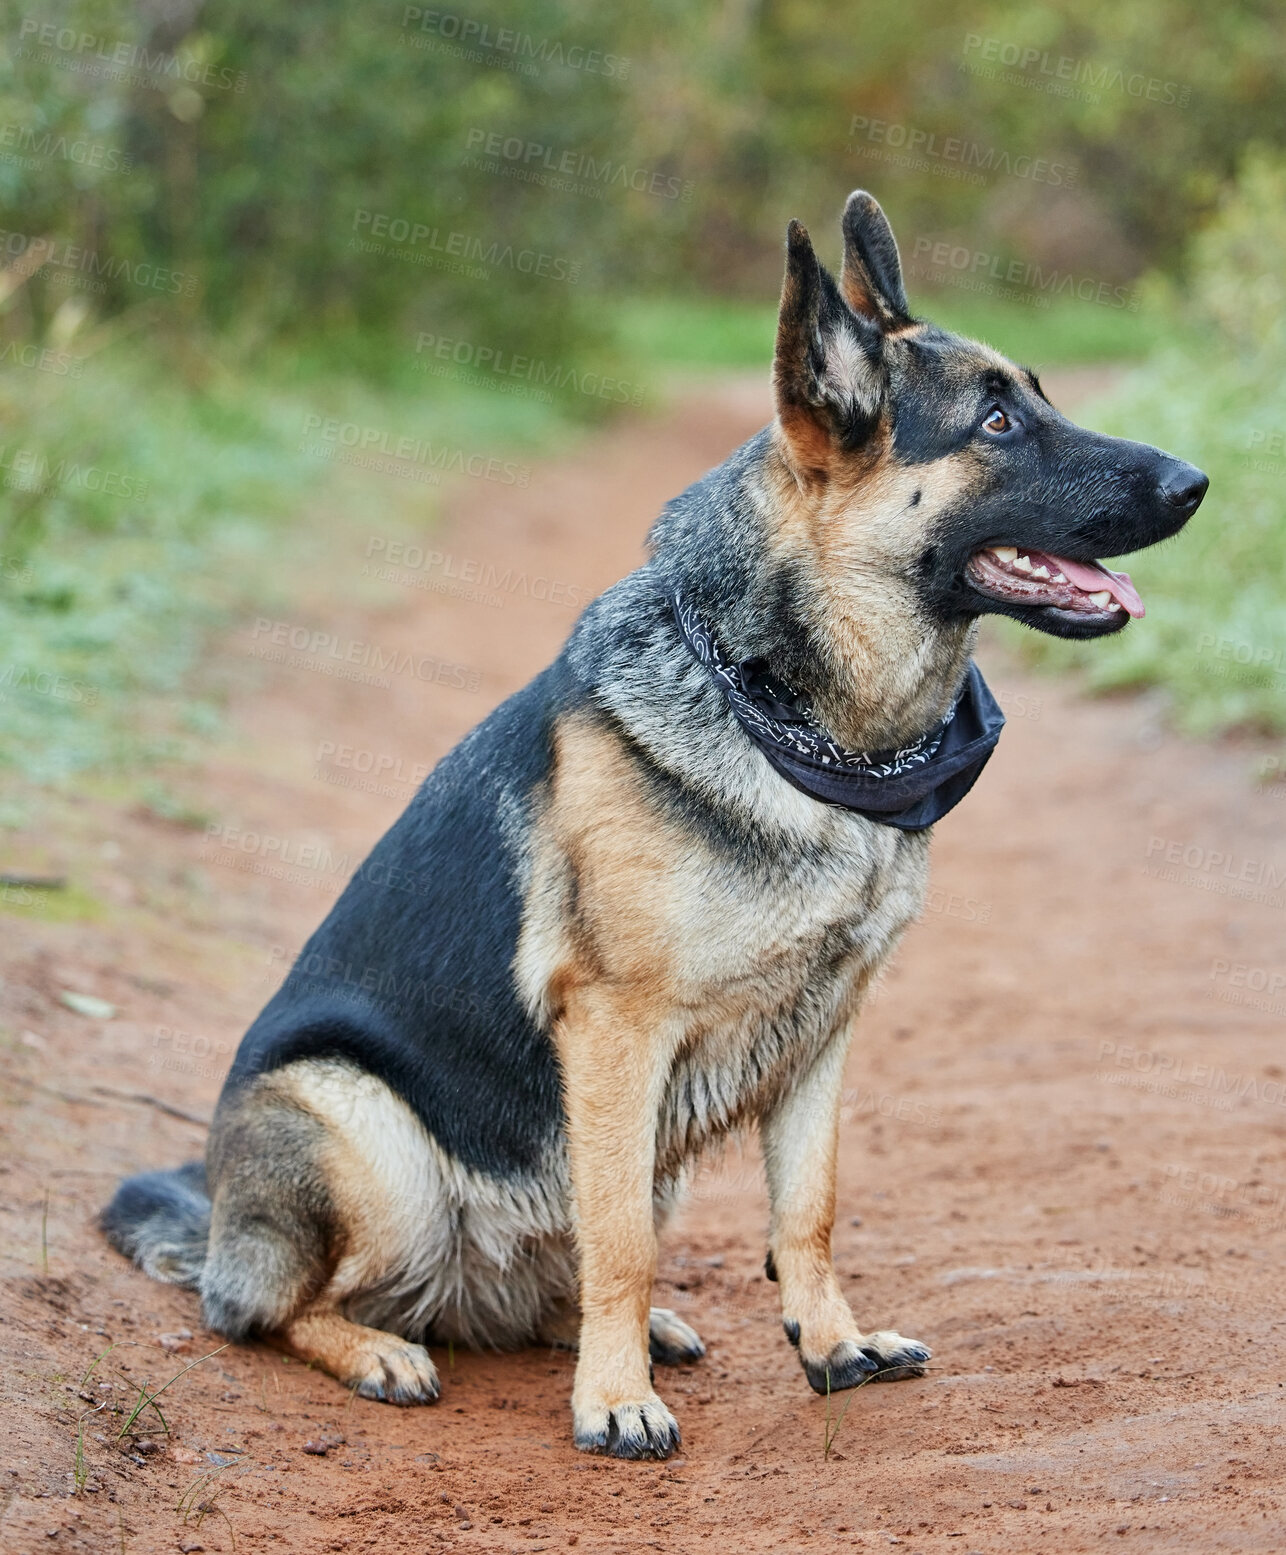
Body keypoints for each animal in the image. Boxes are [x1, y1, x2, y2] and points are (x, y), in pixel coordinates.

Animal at [100, 191, 1206, 1455]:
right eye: (994, 422)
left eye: (1037, 398)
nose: (1195, 482)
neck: (794, 719)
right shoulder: (617, 1030)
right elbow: (621, 1238)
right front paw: (614, 1401)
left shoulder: (824, 1032)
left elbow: (807, 1207)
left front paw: (830, 1343)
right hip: (359, 1124)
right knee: (265, 1306)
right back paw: (384, 1347)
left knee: (523, 1284)